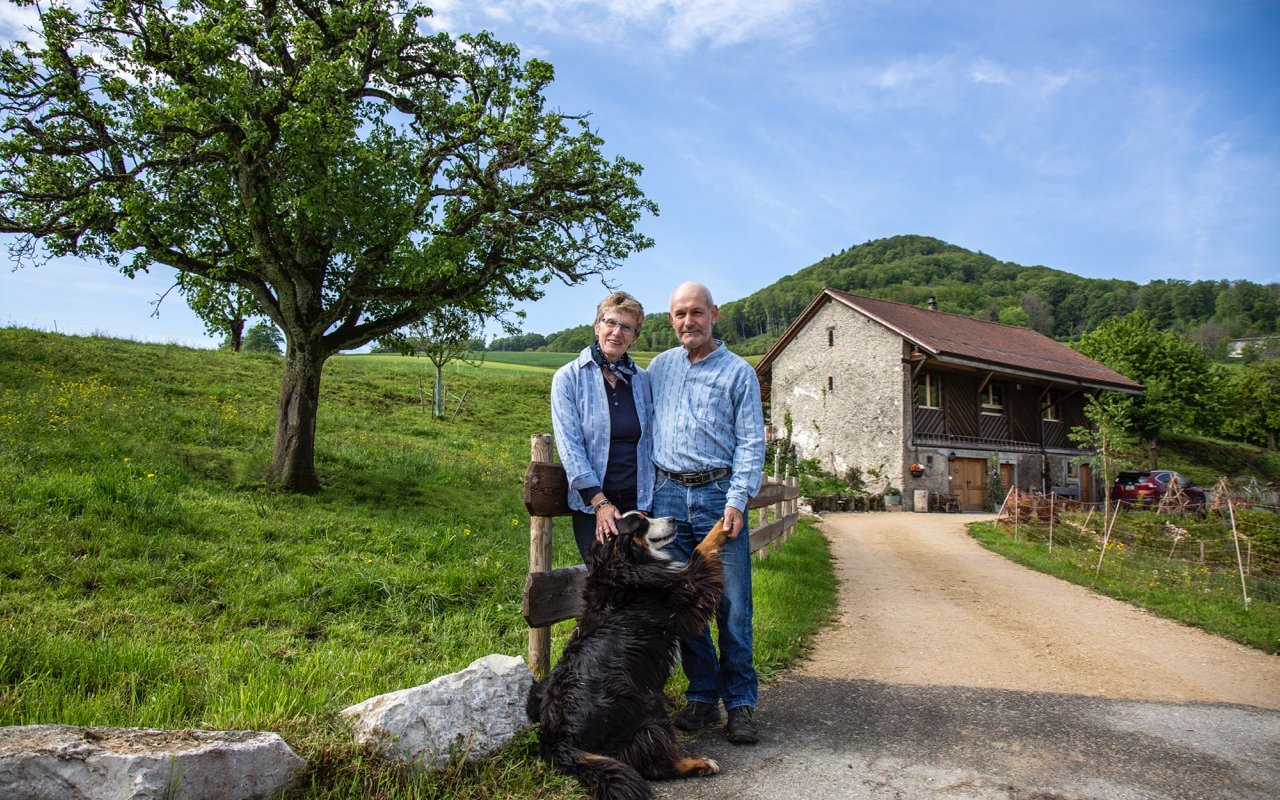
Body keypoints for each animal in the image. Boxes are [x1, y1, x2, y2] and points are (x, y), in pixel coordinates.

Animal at [527, 512, 732, 798]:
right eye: (641, 524)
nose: (673, 518)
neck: (624, 566)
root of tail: (559, 740)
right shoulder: (687, 588)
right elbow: (701, 550)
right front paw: (723, 523)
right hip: (648, 709)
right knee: (657, 765)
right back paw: (700, 764)